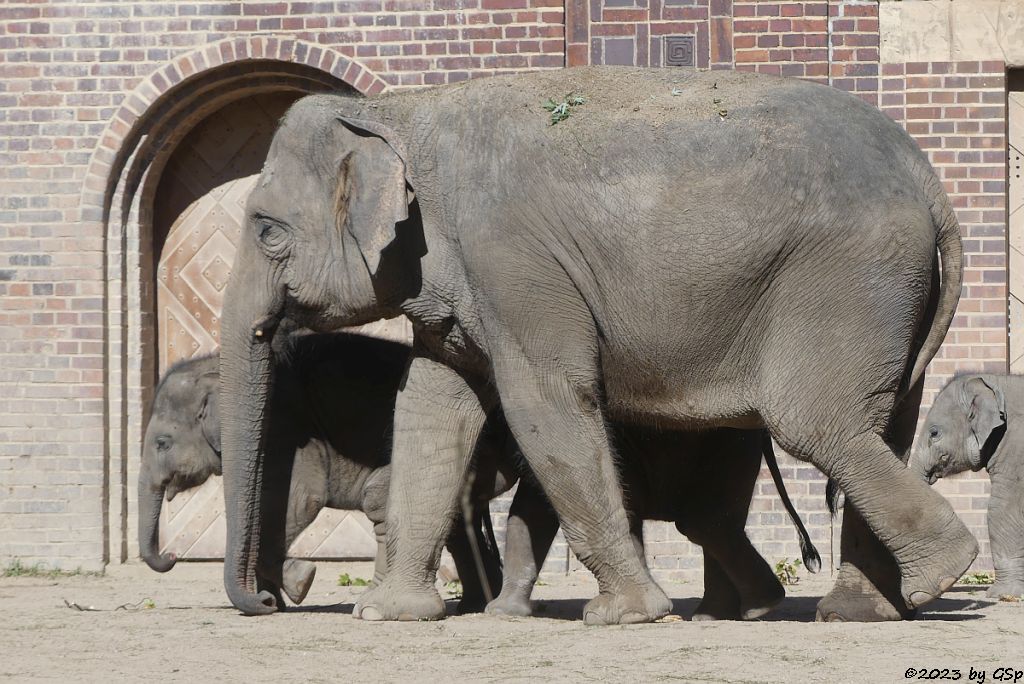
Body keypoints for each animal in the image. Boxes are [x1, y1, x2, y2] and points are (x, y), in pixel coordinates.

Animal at [220, 65, 970, 626]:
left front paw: (626, 615)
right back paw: (863, 610)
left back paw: (939, 577)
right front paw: (388, 614)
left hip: (848, 282)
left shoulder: (513, 263)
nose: (270, 598)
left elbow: (545, 402)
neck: (398, 112)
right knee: (880, 424)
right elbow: (431, 409)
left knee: (819, 425)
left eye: (267, 232)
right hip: (895, 296)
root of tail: (928, 180)